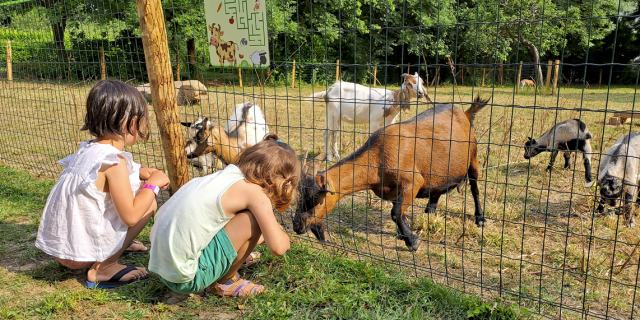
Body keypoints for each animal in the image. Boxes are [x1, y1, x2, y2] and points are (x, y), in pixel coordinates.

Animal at [296, 95, 490, 250]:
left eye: (317, 197)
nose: (297, 225)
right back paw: (429, 212)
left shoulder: (413, 182)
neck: (378, 157)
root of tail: (464, 113)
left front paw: (412, 242)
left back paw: (480, 218)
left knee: (475, 188)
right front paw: (405, 234)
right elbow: (399, 212)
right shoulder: (393, 191)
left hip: (473, 156)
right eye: (299, 195)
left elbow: (395, 212)